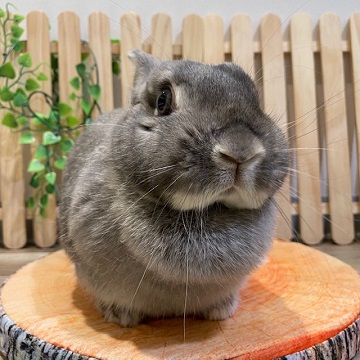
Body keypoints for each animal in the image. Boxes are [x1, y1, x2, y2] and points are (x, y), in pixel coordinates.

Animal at [59, 49, 290, 328]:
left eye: (255, 99)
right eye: (162, 100)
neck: (203, 212)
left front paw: (221, 312)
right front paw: (121, 317)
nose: (240, 150)